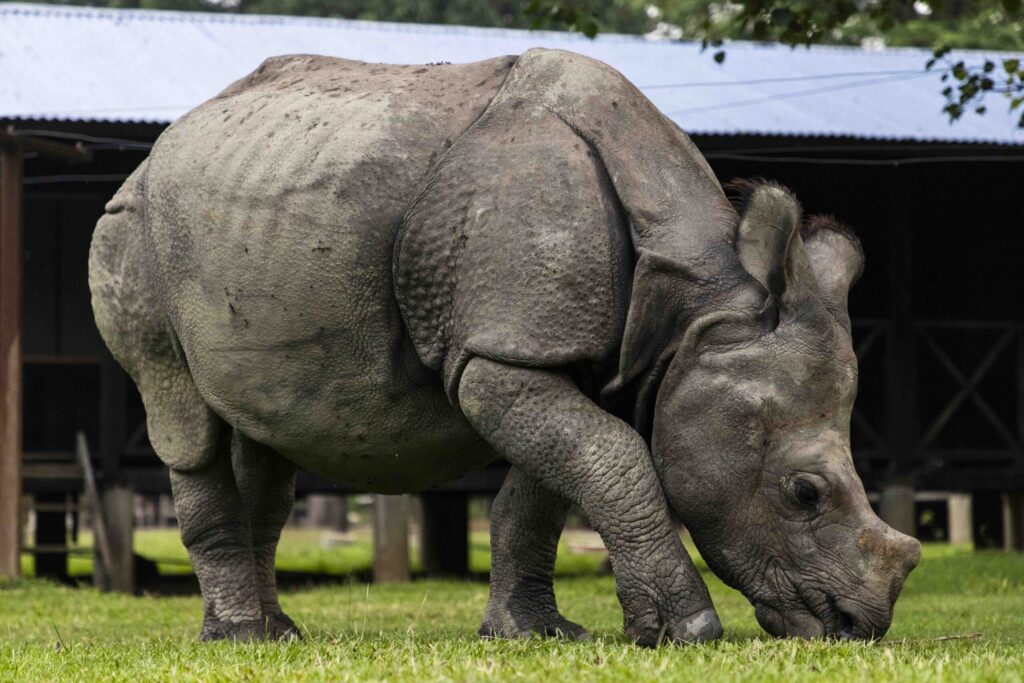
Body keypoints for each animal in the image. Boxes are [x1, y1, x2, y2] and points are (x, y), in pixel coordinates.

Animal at [89, 48, 920, 645]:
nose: (857, 627)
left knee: (262, 439)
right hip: (130, 229)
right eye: (804, 492)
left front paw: (536, 632)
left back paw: (275, 633)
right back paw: (243, 638)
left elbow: (547, 490)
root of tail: (159, 145)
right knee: (184, 419)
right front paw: (688, 629)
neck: (697, 312)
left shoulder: (550, 351)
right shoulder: (505, 352)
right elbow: (613, 456)